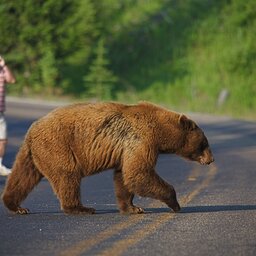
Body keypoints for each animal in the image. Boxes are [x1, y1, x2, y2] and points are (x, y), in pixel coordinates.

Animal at [1, 101, 214, 215]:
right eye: (204, 143)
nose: (211, 159)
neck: (160, 132)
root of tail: (32, 130)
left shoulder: (126, 149)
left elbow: (124, 177)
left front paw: (132, 207)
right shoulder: (140, 140)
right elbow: (139, 173)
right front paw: (175, 203)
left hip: (33, 153)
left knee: (23, 177)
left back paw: (16, 206)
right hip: (58, 146)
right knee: (67, 175)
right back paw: (81, 207)